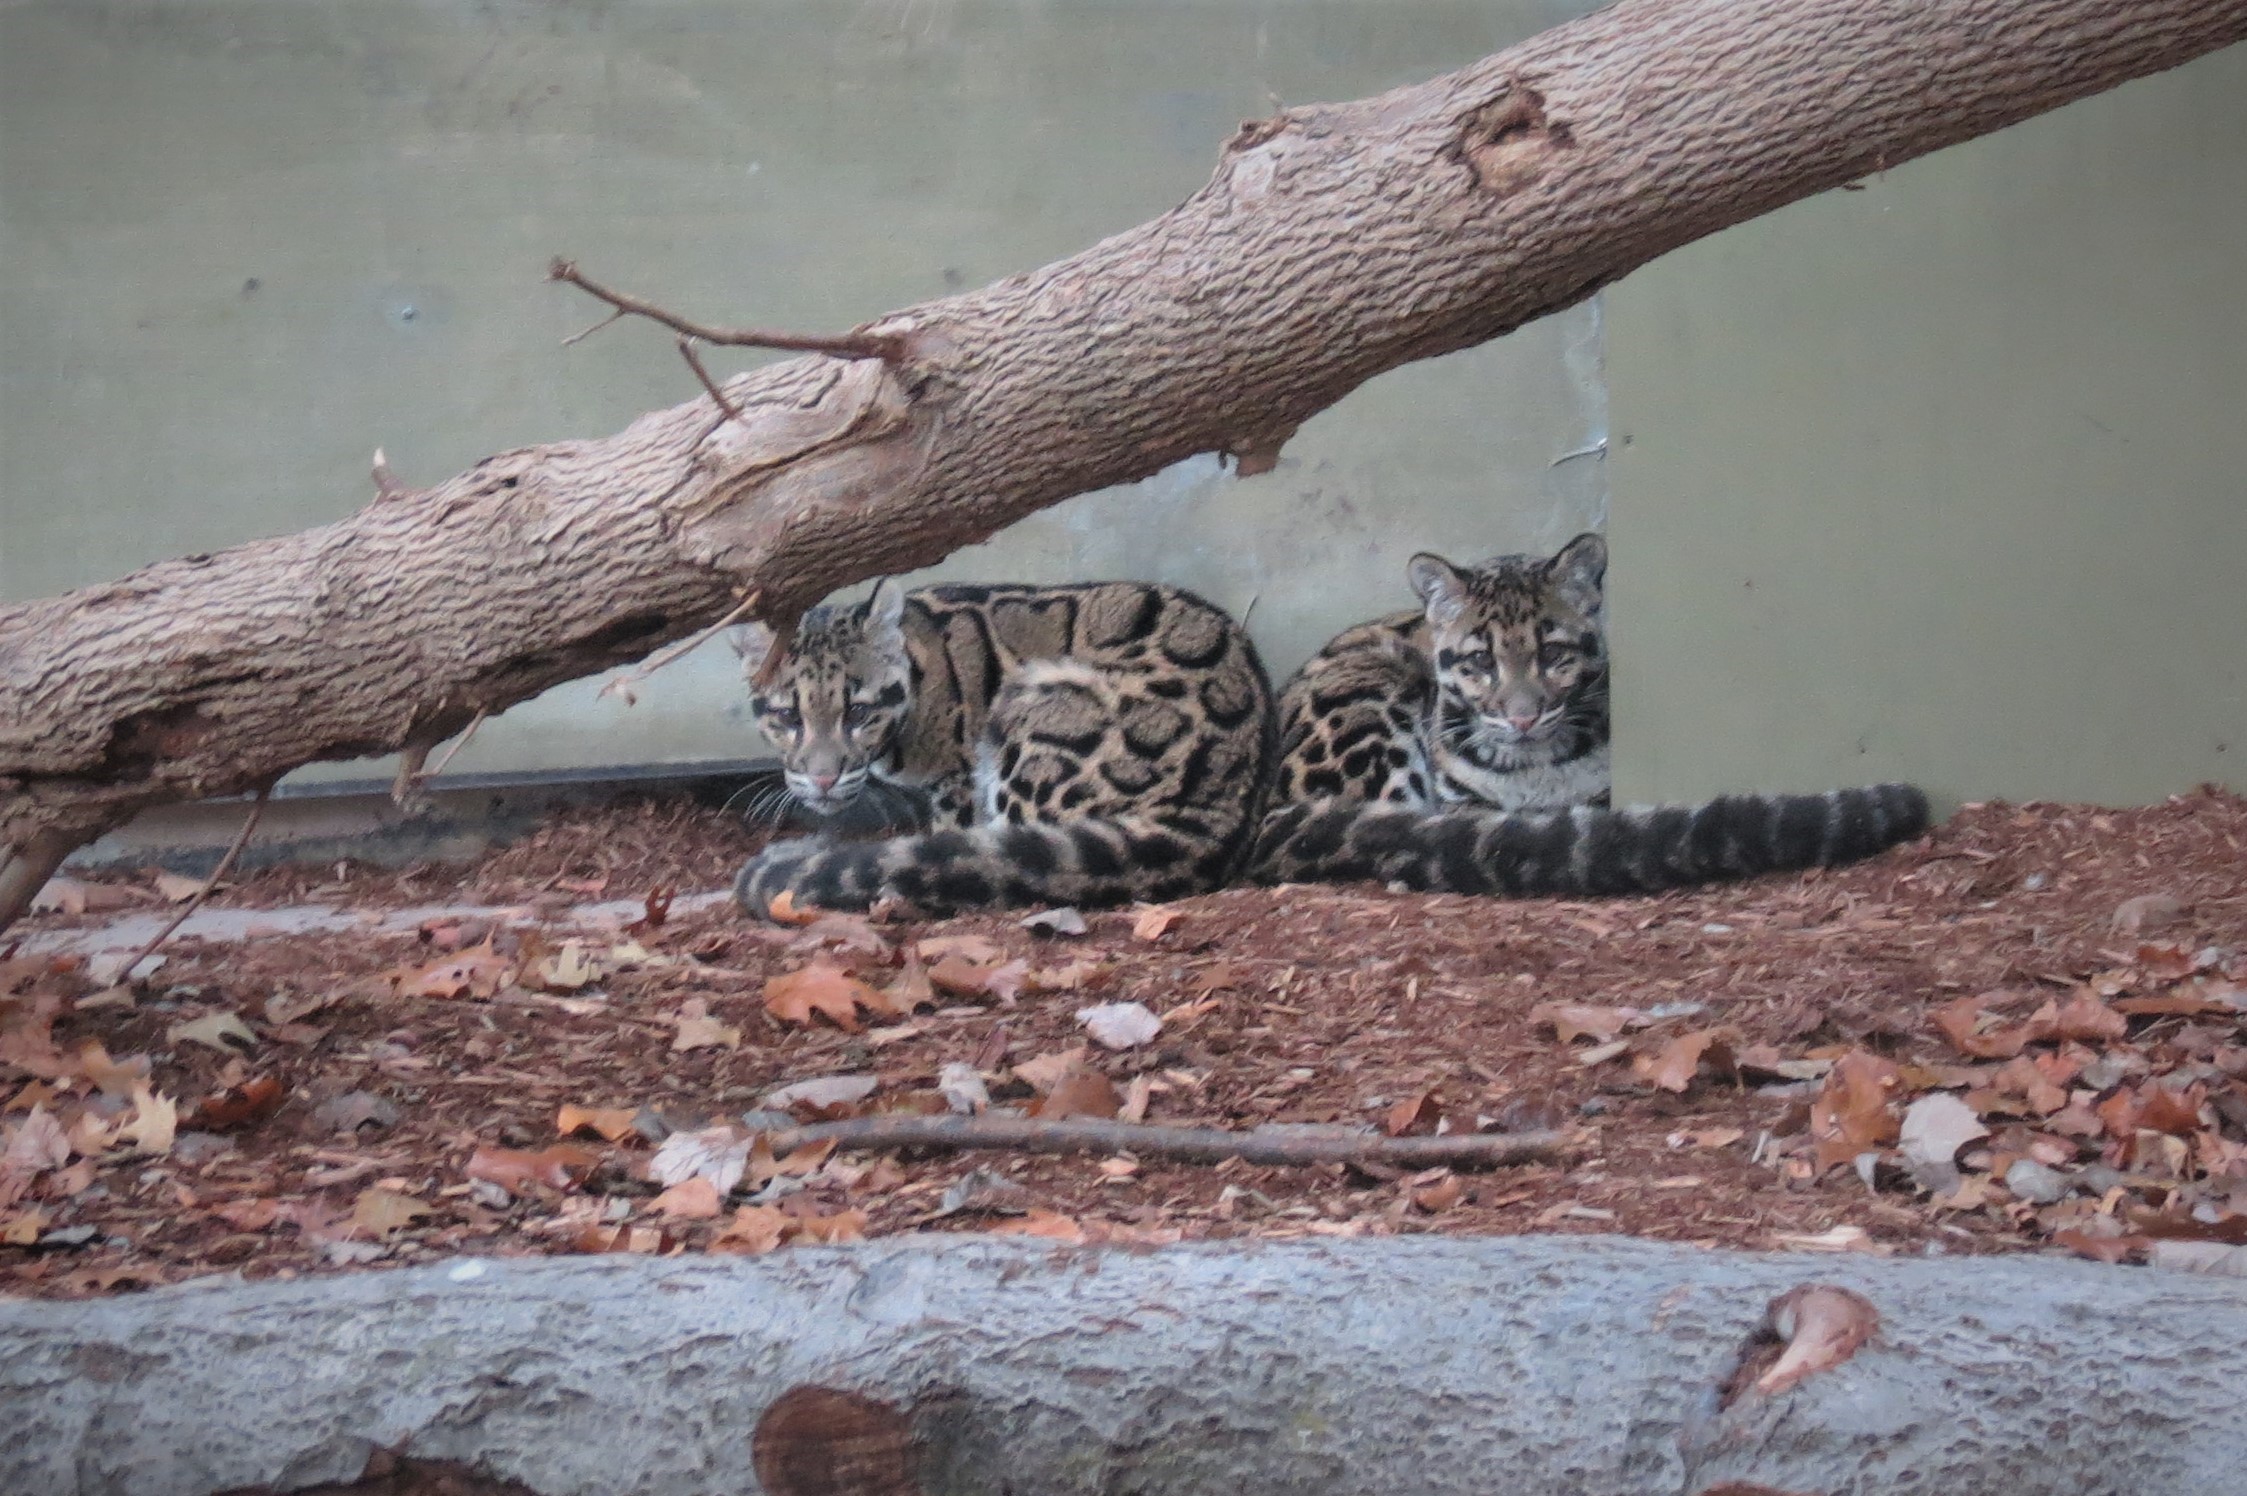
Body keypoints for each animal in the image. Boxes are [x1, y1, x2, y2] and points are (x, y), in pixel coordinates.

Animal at [731, 577, 1274, 918]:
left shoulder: (958, 777)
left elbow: (954, 833)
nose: (822, 778)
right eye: (787, 717)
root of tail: (1220, 809)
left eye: (859, 713)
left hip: (1036, 708)